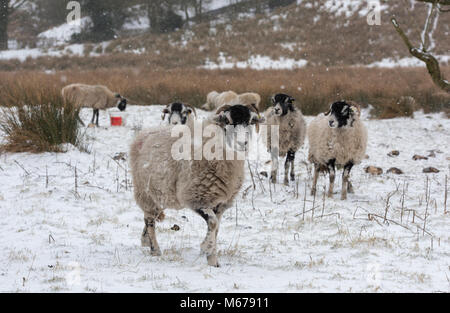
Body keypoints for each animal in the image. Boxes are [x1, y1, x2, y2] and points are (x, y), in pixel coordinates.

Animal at [129, 102, 264, 266]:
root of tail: (145, 132)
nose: (242, 143)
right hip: (145, 191)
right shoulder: (196, 198)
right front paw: (208, 252)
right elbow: (213, 223)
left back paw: (145, 241)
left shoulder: (220, 204)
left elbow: (216, 228)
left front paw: (210, 257)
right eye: (227, 121)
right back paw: (155, 249)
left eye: (250, 121)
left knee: (153, 215)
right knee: (149, 220)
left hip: (161, 192)